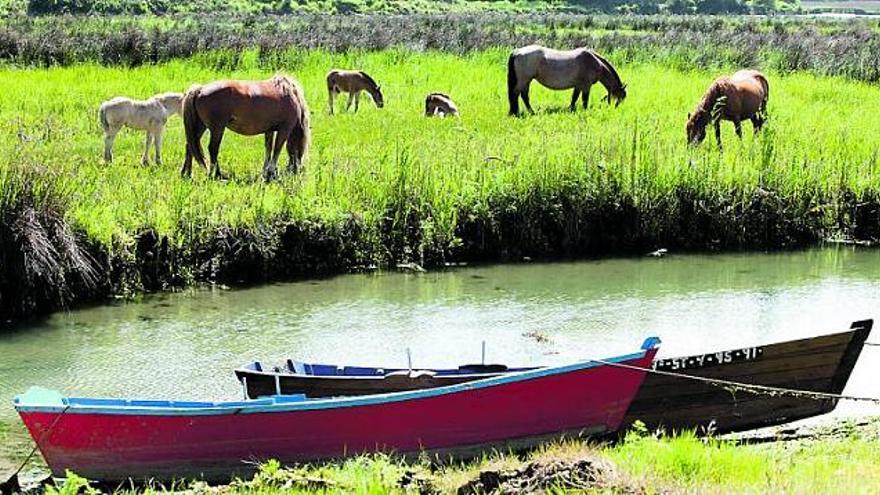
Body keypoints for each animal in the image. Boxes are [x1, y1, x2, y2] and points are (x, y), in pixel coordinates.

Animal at [180, 74, 312, 181]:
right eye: (300, 150)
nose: (296, 170)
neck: (290, 95)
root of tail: (200, 89)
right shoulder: (284, 130)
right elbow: (276, 150)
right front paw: (271, 172)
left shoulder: (269, 131)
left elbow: (268, 149)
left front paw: (266, 171)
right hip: (217, 128)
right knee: (212, 149)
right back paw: (217, 174)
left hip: (200, 127)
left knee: (190, 146)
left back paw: (187, 174)